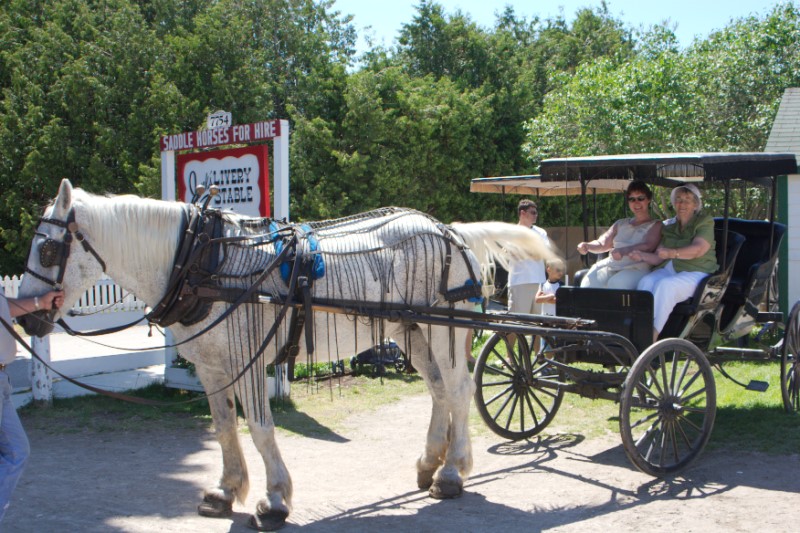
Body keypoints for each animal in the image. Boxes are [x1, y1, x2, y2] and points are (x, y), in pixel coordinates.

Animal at [20, 181, 556, 528]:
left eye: (48, 251)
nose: (27, 318)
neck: (203, 259)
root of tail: (450, 231)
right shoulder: (212, 367)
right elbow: (223, 429)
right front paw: (226, 490)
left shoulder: (248, 359)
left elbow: (259, 428)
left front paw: (274, 501)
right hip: (411, 333)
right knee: (441, 392)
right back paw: (429, 463)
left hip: (441, 330)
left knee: (461, 390)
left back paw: (451, 472)